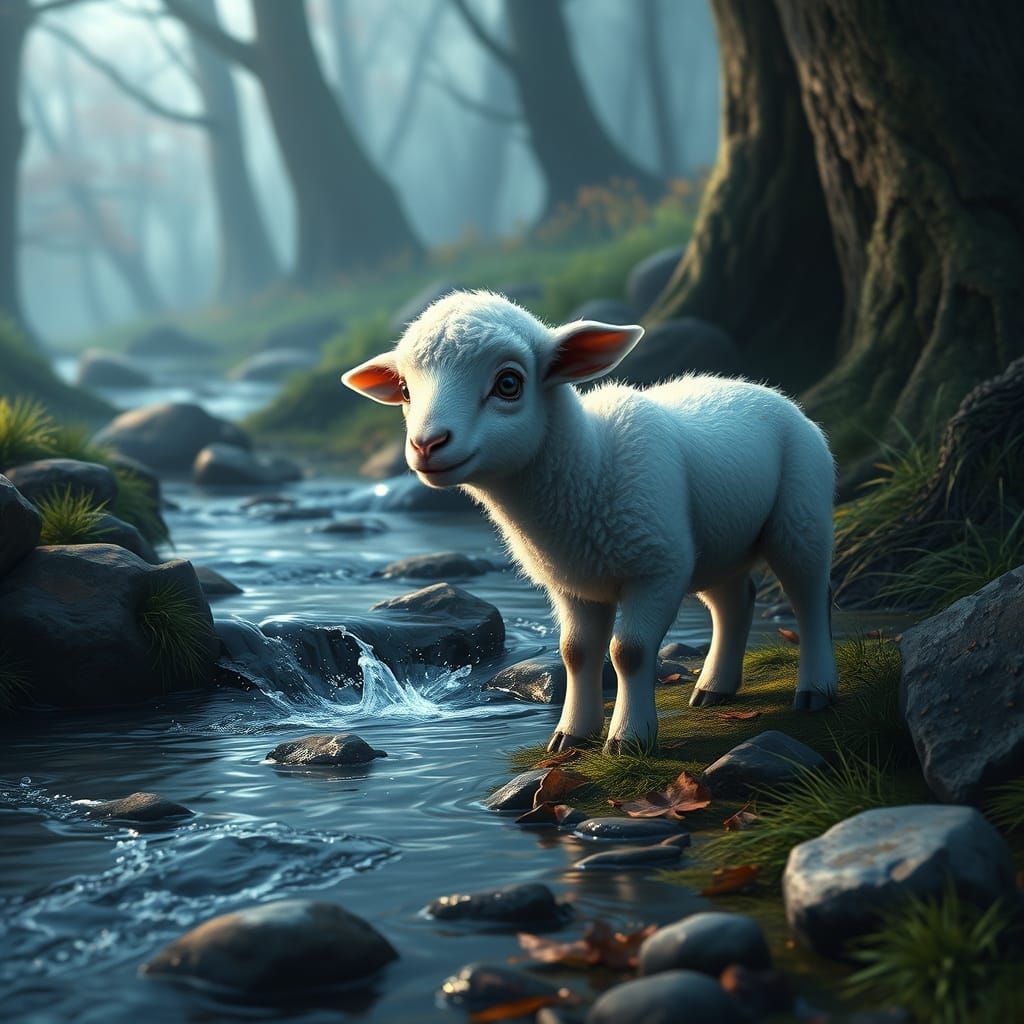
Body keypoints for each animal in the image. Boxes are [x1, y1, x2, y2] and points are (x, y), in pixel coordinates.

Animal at [343, 290, 837, 754]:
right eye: (405, 390)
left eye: (508, 383)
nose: (427, 444)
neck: (592, 463)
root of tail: (760, 388)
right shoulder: (574, 582)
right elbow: (575, 653)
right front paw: (571, 735)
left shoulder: (657, 569)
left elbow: (628, 652)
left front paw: (628, 738)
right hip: (714, 545)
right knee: (733, 600)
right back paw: (714, 687)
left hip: (801, 511)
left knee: (810, 595)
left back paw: (815, 690)